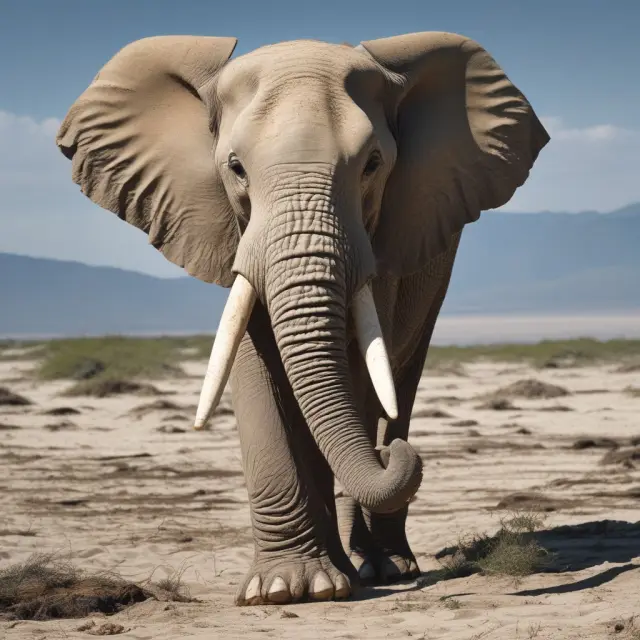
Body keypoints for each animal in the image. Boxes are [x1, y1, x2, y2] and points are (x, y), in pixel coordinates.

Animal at [56, 31, 549, 606]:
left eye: (373, 163)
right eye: (235, 167)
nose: (392, 453)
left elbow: (357, 368)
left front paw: (320, 582)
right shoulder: (233, 231)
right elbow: (252, 364)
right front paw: (283, 589)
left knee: (397, 380)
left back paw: (387, 564)